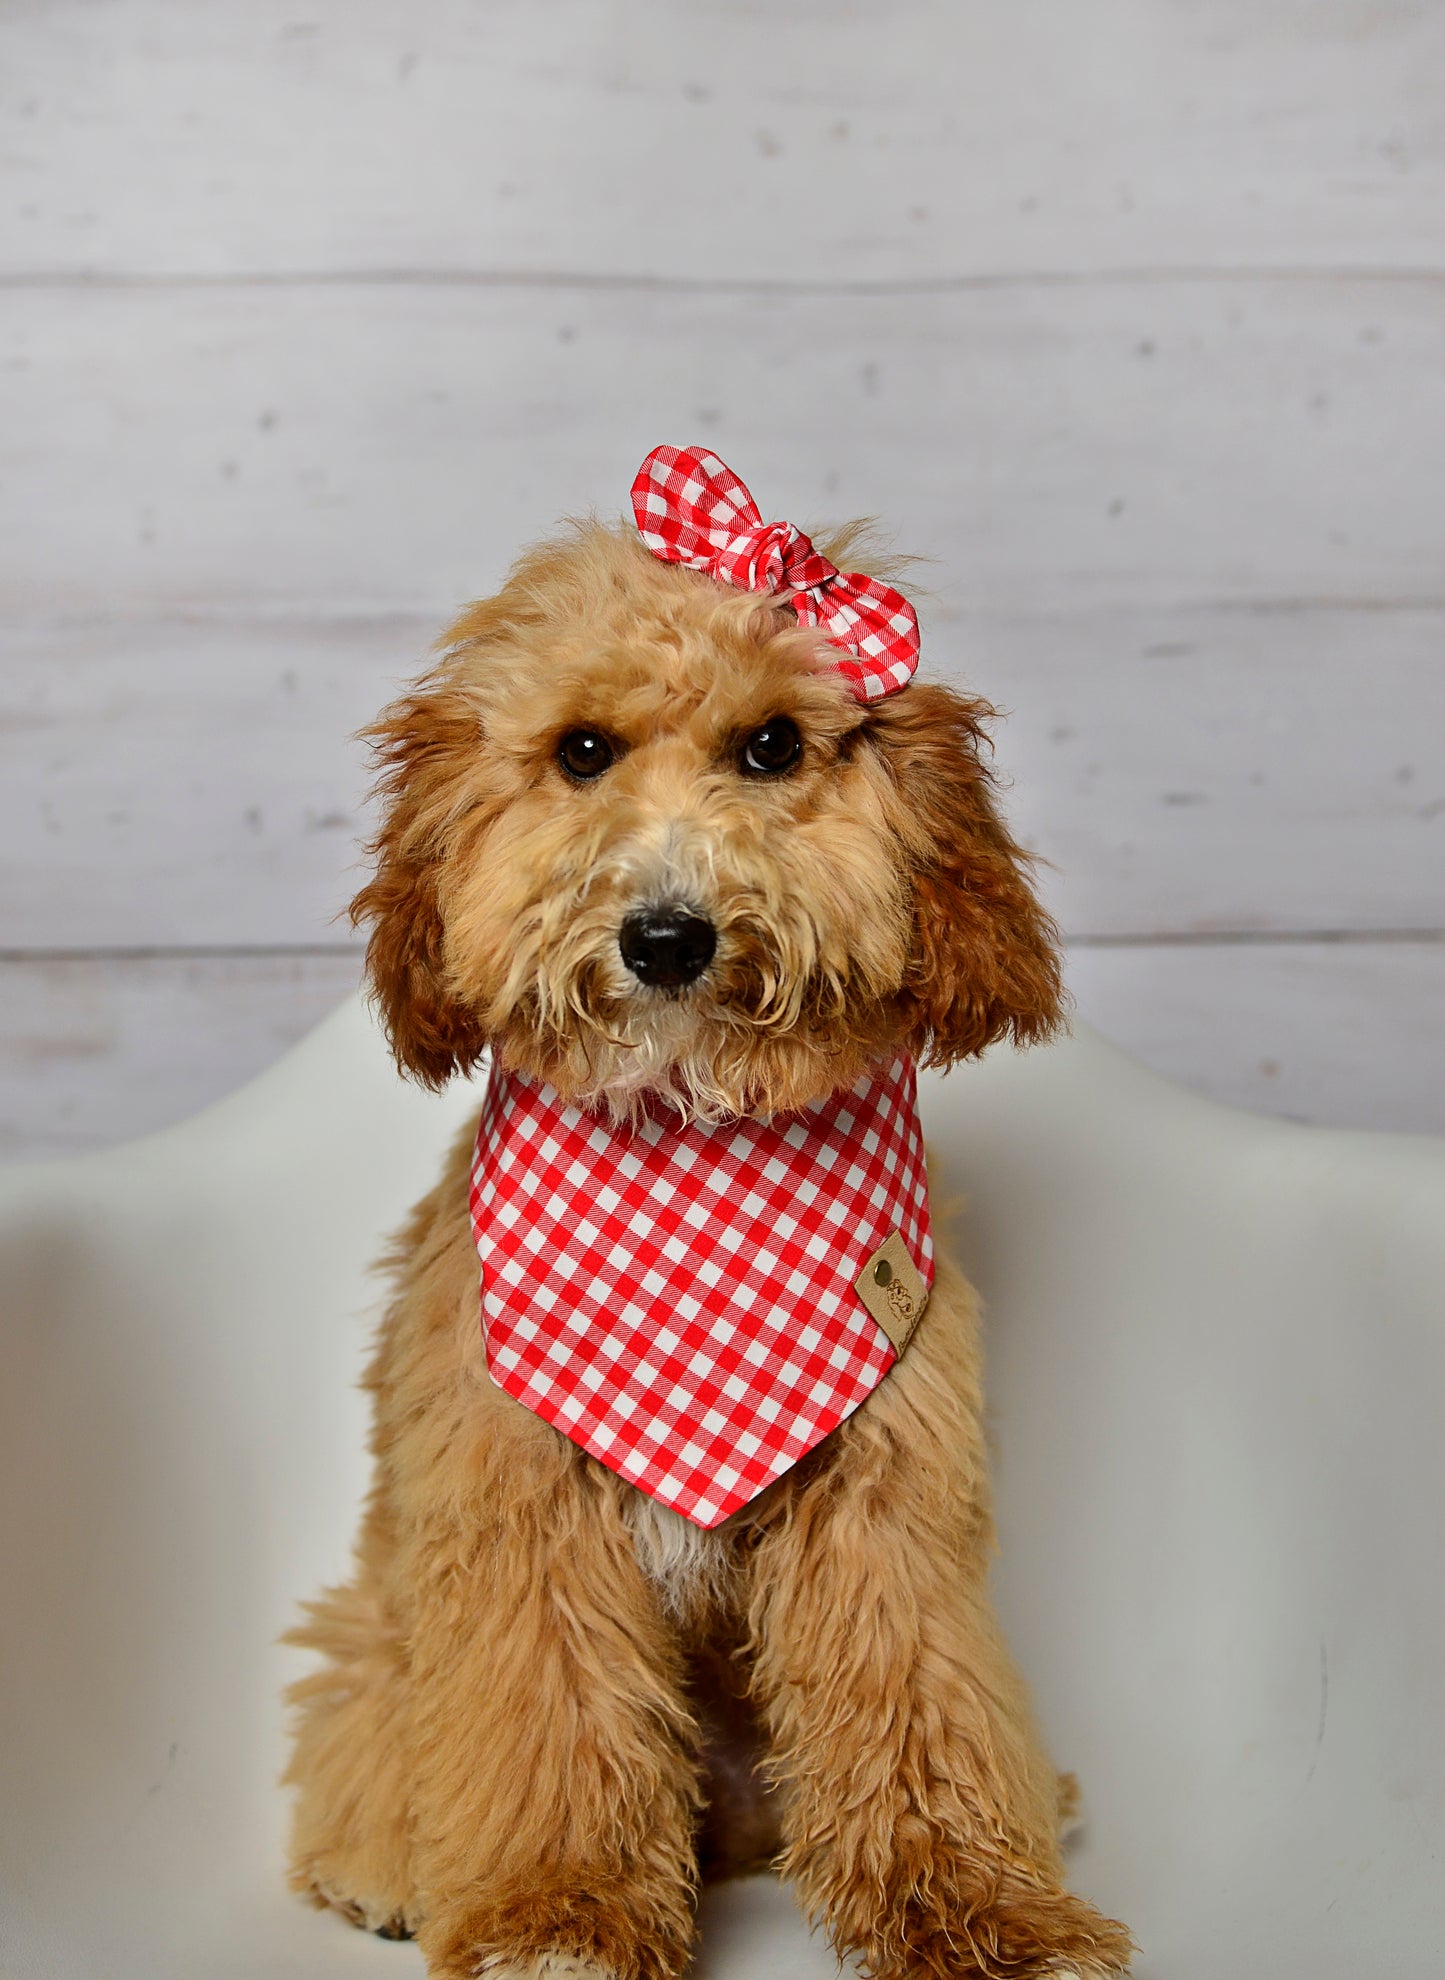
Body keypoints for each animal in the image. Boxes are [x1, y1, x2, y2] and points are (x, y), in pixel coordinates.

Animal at [281, 449, 1132, 1980]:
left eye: (773, 748)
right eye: (581, 753)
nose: (667, 937)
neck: (690, 1141)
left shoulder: (885, 1502)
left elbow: (916, 1701)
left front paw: (984, 1913)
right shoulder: (522, 1511)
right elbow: (548, 1719)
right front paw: (555, 1919)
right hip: (380, 1625)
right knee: (362, 1726)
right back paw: (384, 1864)